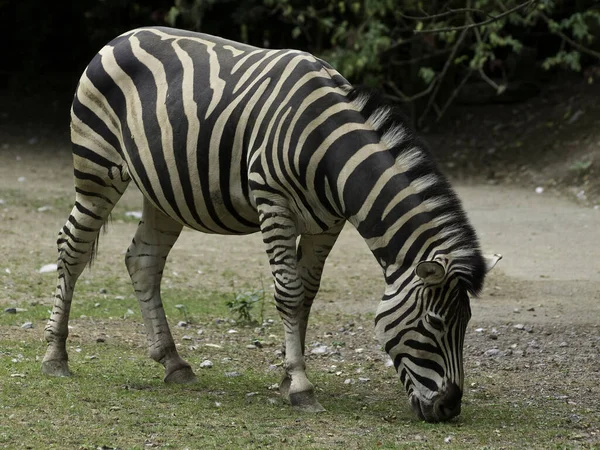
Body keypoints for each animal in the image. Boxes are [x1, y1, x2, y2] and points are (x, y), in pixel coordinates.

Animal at [43, 27, 502, 422]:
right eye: (434, 324)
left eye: (466, 323)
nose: (449, 408)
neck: (330, 151)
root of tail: (120, 37)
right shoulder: (273, 201)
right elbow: (288, 292)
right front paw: (300, 386)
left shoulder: (327, 223)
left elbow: (307, 294)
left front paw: (288, 375)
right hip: (97, 169)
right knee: (72, 248)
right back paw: (55, 356)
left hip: (163, 191)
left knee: (143, 260)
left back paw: (173, 362)